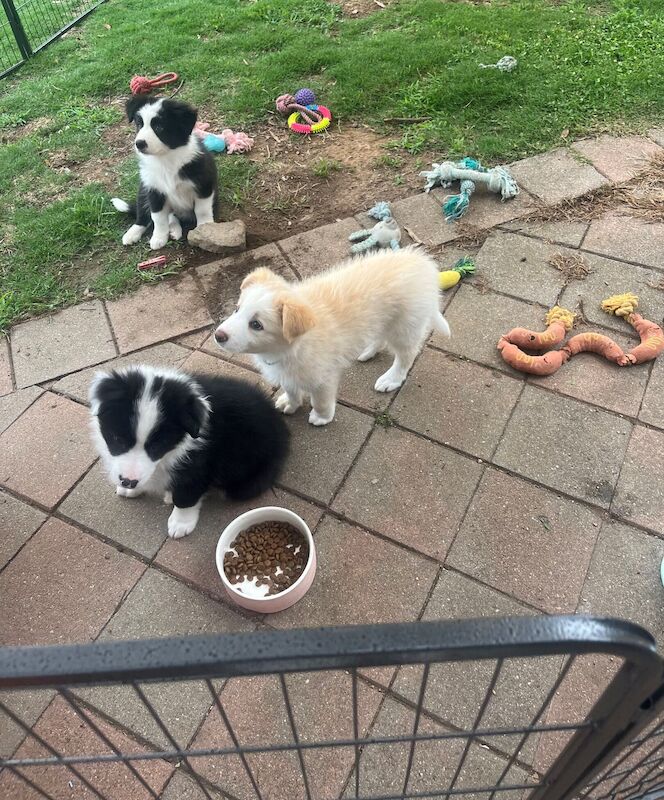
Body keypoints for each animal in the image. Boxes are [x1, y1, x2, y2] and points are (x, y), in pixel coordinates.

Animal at [89, 366, 290, 540]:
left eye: (158, 445)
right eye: (117, 439)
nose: (128, 481)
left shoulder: (200, 462)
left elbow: (186, 494)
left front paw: (180, 523)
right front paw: (132, 488)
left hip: (245, 482)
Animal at [111, 98, 218, 252]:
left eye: (159, 127)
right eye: (139, 124)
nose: (139, 144)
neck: (165, 158)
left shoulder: (204, 185)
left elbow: (202, 210)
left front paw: (205, 228)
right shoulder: (154, 190)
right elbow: (158, 217)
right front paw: (159, 238)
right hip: (142, 191)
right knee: (144, 215)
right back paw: (132, 234)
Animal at [213, 248, 452, 424]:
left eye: (256, 325)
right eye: (237, 309)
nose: (218, 335)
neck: (288, 348)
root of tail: (424, 264)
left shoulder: (323, 377)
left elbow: (320, 399)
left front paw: (321, 417)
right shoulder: (287, 372)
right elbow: (291, 388)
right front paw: (290, 403)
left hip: (405, 327)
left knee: (405, 357)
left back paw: (390, 379)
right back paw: (367, 351)